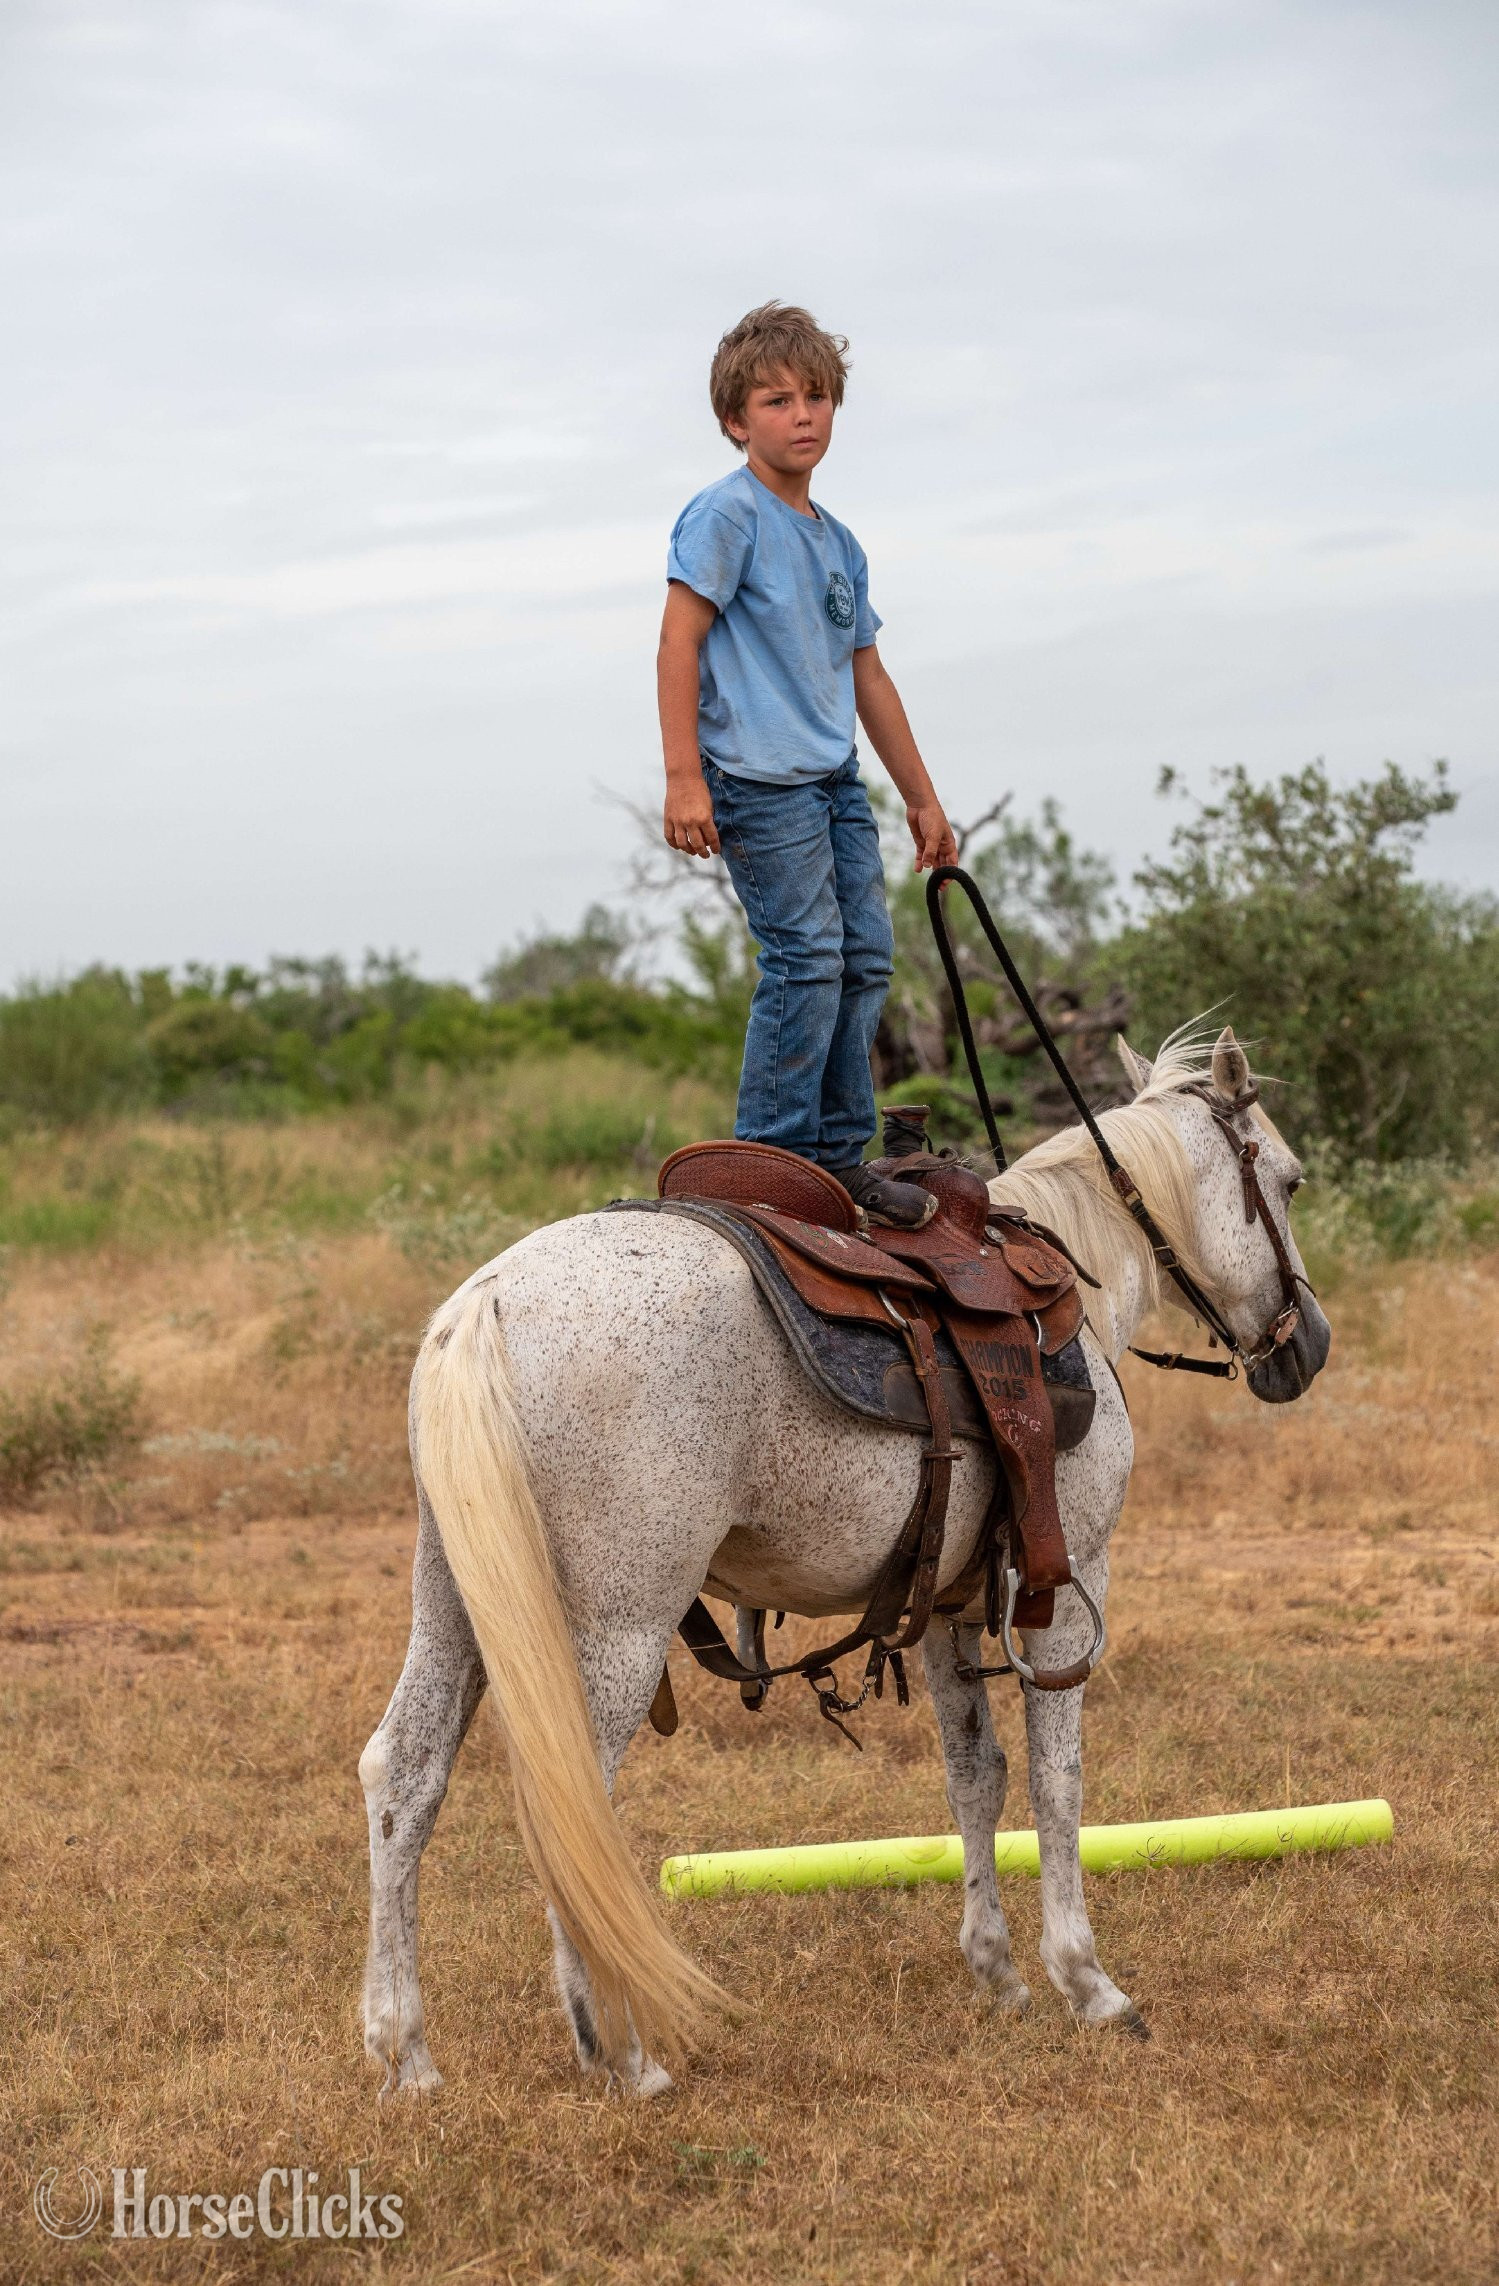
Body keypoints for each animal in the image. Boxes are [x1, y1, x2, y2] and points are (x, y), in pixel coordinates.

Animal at [358, 1024, 1331, 2095]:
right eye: (1285, 1181)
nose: (1307, 1347)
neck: (1071, 1283)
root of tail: (487, 1302)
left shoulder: (948, 1605)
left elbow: (976, 1772)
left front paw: (996, 1974)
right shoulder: (1068, 1590)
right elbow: (1056, 1778)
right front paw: (1088, 1983)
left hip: (453, 1598)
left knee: (404, 1774)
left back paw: (405, 2053)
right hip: (619, 1622)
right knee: (570, 1804)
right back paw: (623, 2057)